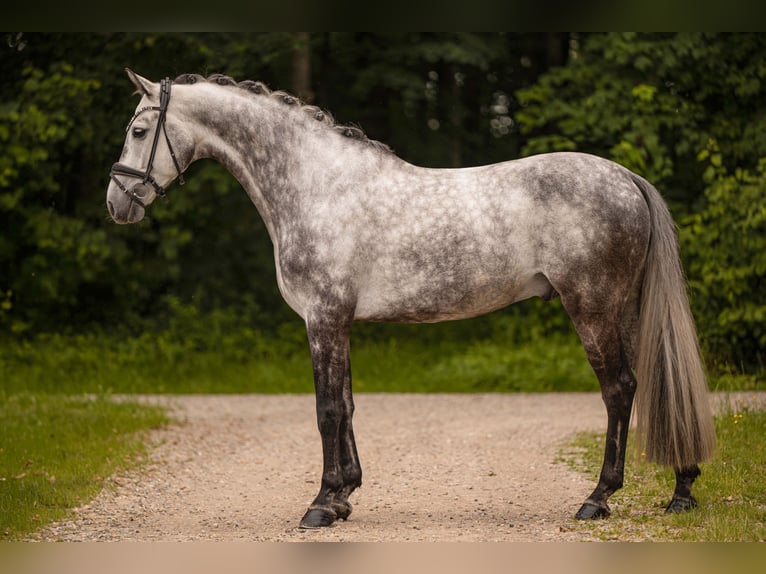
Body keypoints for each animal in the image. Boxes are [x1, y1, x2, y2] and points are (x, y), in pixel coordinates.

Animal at [106, 69, 715, 529]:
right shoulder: (340, 323)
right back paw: (681, 490)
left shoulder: (323, 319)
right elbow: (347, 404)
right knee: (652, 382)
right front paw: (345, 496)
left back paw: (598, 497)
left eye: (139, 129)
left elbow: (327, 411)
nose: (117, 203)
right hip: (625, 308)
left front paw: (320, 505)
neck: (316, 186)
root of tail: (624, 177)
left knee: (619, 389)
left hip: (591, 307)